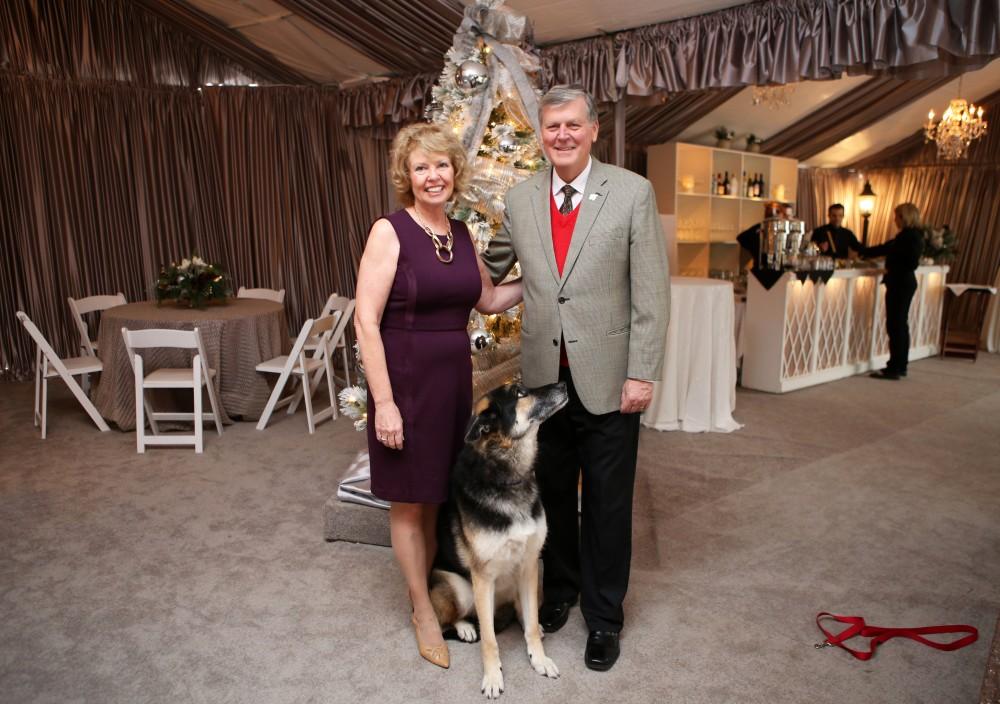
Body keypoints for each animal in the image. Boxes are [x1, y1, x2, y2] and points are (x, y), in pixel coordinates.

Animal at [430, 384, 572, 700]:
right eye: (520, 393)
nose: (563, 385)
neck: (509, 477)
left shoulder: (529, 566)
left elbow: (529, 624)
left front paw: (539, 658)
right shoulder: (482, 578)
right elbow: (490, 640)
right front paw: (493, 676)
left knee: (524, 614)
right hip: (462, 589)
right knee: (454, 618)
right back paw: (465, 628)